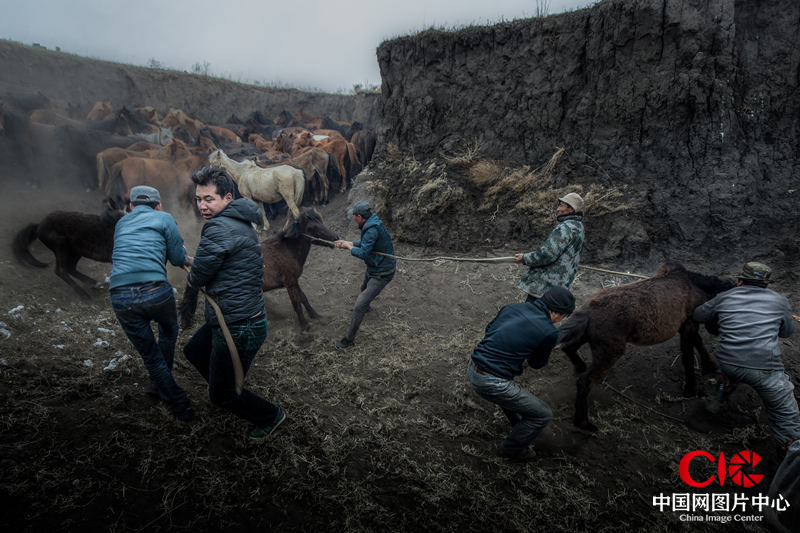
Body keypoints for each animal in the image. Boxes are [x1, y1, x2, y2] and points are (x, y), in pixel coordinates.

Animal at [180, 206, 340, 330]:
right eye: (311, 227)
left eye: (321, 220)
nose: (335, 238)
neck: (286, 249)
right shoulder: (289, 282)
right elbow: (297, 304)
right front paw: (305, 327)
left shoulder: (294, 281)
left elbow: (304, 299)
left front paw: (317, 316)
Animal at [560, 262, 736, 432]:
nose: (716, 330)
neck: (695, 285)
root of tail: (588, 312)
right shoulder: (689, 325)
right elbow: (688, 357)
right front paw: (691, 389)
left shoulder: (687, 326)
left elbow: (698, 344)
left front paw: (709, 367)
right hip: (610, 352)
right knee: (584, 382)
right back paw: (583, 423)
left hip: (588, 337)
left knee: (568, 347)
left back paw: (580, 366)